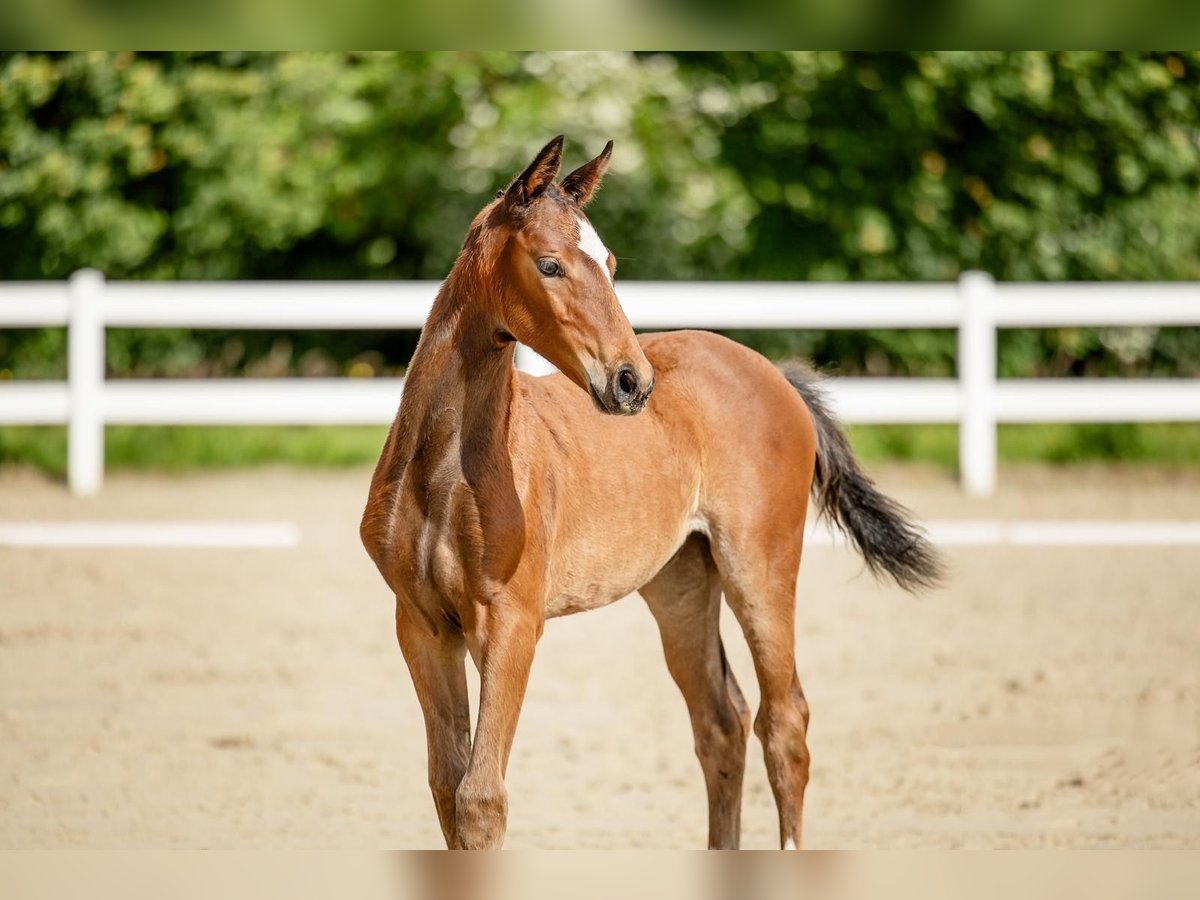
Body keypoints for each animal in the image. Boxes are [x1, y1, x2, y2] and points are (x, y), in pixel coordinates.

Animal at [360, 135, 940, 854]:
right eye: (550, 264)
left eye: (610, 262)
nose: (630, 381)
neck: (445, 473)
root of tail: (773, 372)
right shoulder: (421, 625)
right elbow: (447, 788)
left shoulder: (511, 625)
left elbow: (480, 798)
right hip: (681, 582)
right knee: (721, 722)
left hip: (759, 567)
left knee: (784, 724)